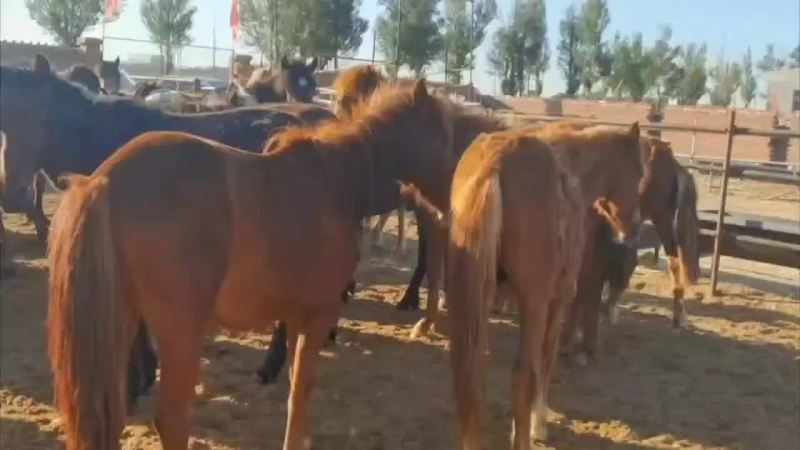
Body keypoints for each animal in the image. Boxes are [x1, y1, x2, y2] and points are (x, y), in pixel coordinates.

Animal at [47, 80, 456, 450]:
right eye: (442, 137)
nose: (450, 200)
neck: (334, 182)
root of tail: (104, 181)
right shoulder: (317, 312)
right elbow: (301, 390)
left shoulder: (295, 314)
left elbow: (294, 387)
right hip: (180, 333)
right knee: (171, 419)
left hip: (122, 324)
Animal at [447, 123, 643, 449]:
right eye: (639, 173)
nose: (632, 229)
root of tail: (496, 162)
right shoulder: (557, 300)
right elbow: (546, 359)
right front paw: (538, 423)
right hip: (534, 303)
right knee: (523, 374)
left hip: (472, 298)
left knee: (472, 374)